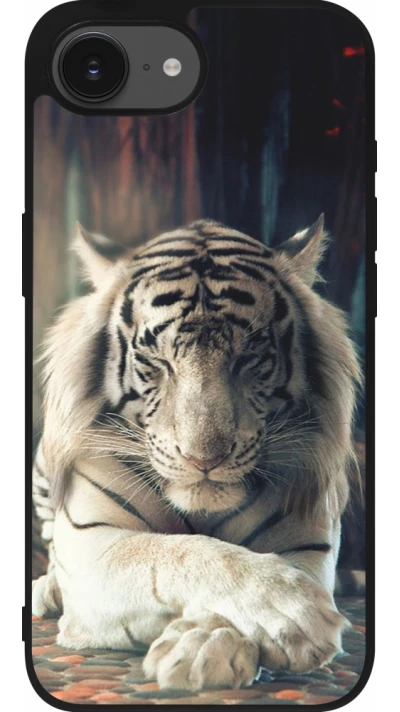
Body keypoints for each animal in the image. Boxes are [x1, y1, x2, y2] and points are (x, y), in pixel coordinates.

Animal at [32, 216, 361, 691]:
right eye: (157, 361)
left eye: (250, 358)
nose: (204, 459)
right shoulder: (93, 542)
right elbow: (180, 552)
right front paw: (292, 612)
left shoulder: (307, 542)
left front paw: (205, 646)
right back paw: (47, 590)